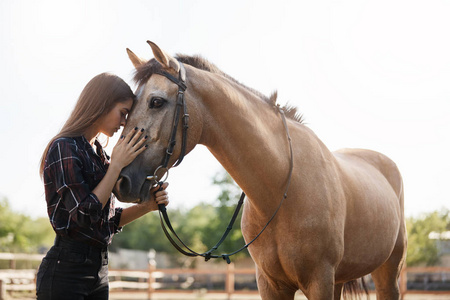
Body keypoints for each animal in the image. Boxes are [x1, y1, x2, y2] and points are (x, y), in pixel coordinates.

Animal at [113, 40, 408, 300]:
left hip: (388, 271)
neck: (284, 190)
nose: (122, 181)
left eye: (156, 101)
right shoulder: (270, 283)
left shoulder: (319, 280)